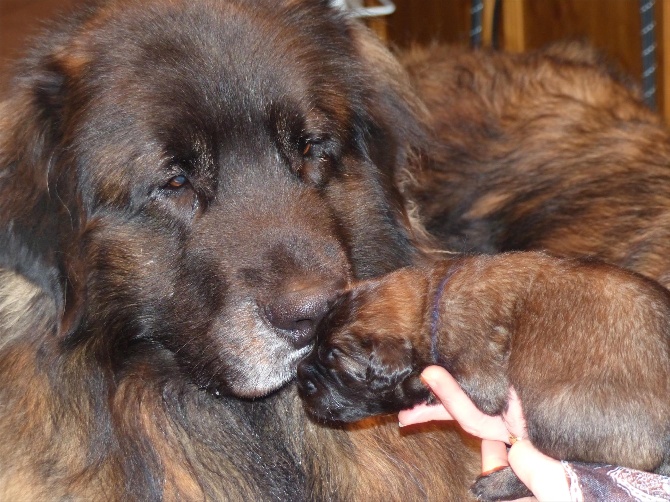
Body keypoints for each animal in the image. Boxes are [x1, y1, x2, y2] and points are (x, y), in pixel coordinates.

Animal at [300, 253, 670, 500]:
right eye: (315, 344)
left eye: (335, 365)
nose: (301, 381)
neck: (430, 305)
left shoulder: (480, 375)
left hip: (555, 411)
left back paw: (494, 484)